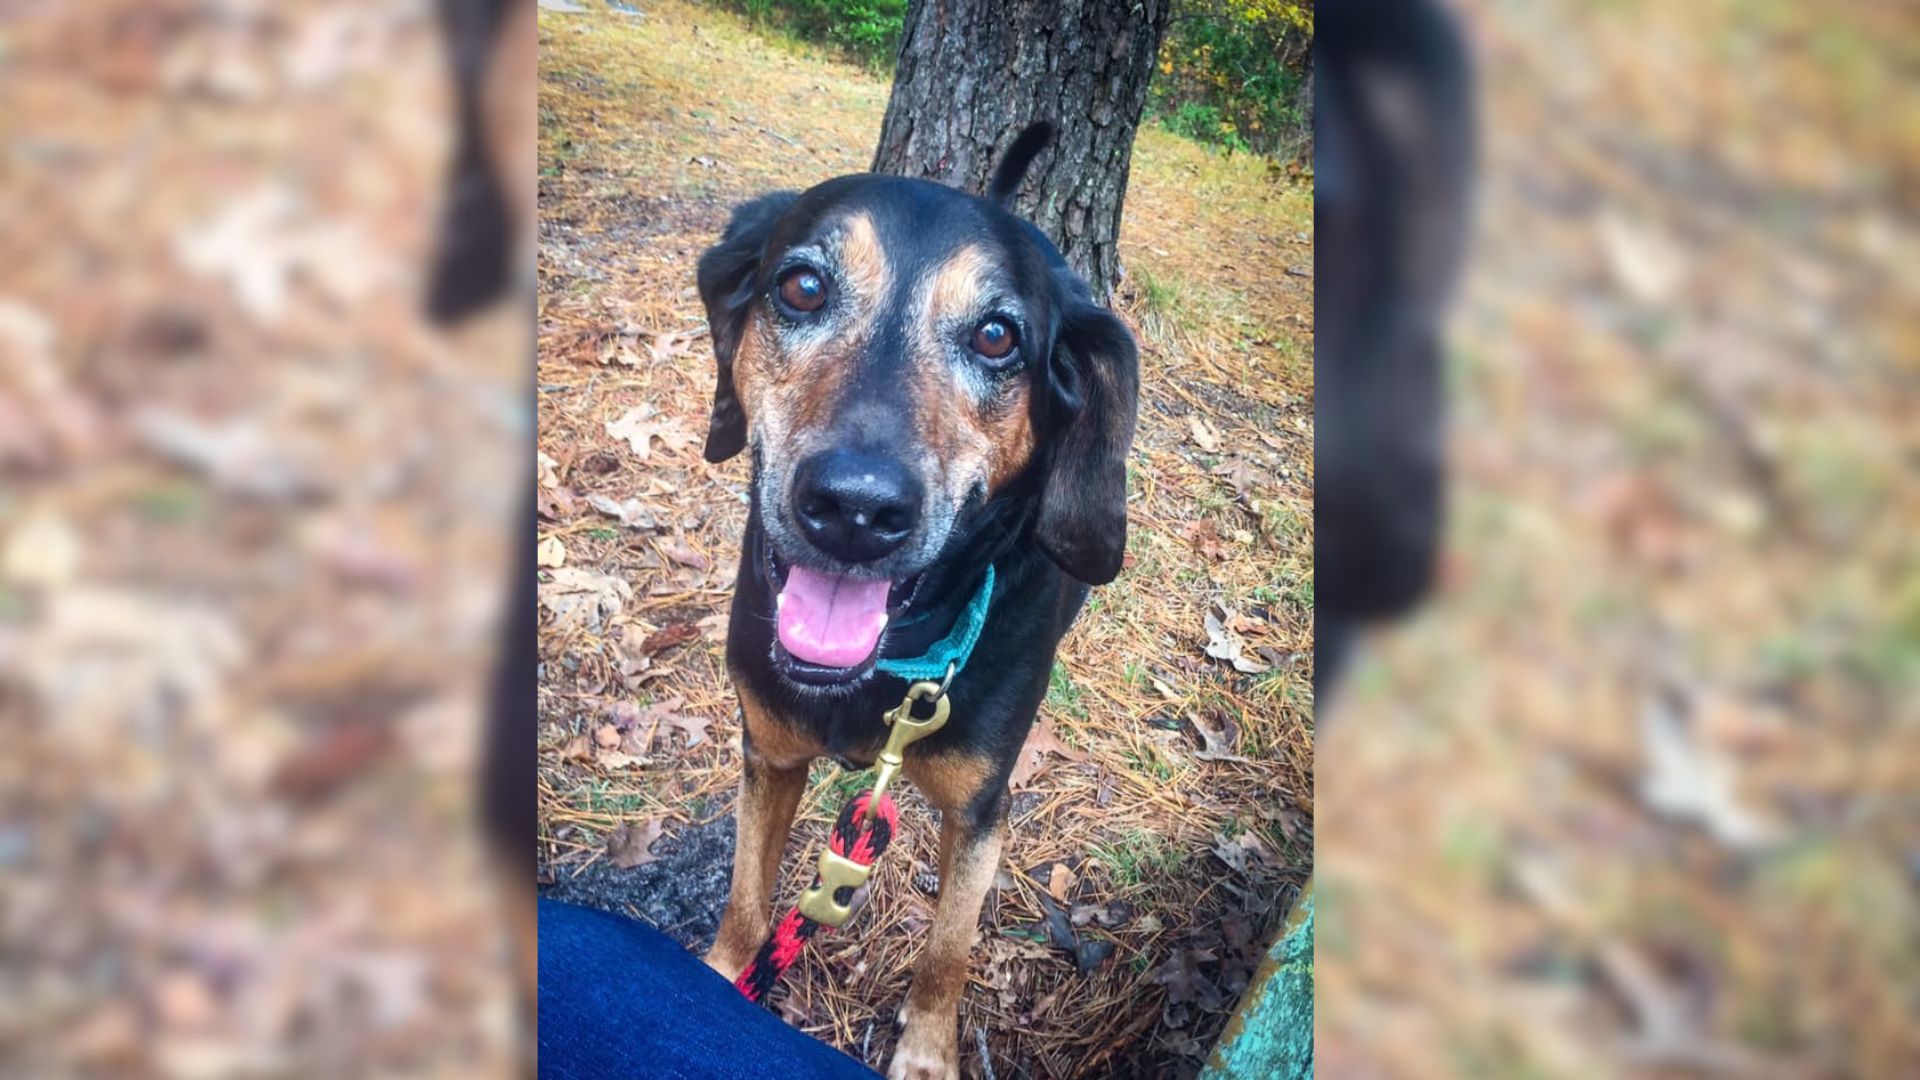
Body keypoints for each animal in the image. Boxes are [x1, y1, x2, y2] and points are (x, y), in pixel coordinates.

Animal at [695, 122, 1128, 1068]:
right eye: (803, 285)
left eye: (998, 336)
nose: (854, 510)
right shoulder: (769, 755)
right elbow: (746, 898)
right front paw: (716, 977)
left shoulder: (981, 813)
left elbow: (948, 952)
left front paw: (927, 1054)